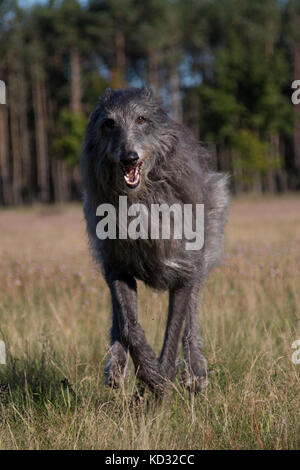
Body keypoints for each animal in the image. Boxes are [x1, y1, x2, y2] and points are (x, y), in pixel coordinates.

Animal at [81, 87, 229, 392]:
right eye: (109, 123)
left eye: (141, 119)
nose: (129, 157)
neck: (142, 200)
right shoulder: (117, 267)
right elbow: (129, 326)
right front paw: (149, 371)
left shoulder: (184, 268)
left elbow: (175, 329)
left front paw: (162, 381)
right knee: (119, 317)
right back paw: (117, 365)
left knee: (192, 315)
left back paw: (194, 372)